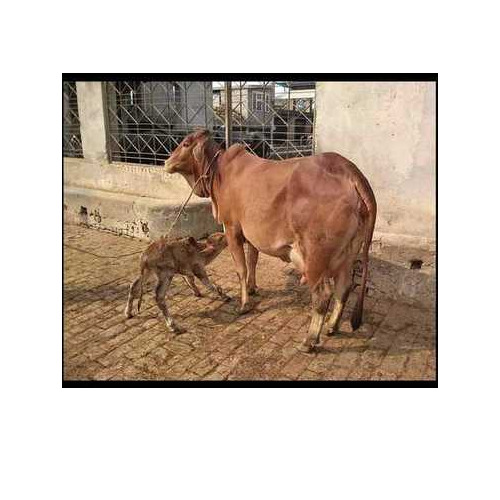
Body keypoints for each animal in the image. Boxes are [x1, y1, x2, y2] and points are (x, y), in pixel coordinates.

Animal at [164, 129, 376, 352]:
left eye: (186, 144)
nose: (166, 162)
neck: (219, 172)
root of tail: (349, 171)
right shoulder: (251, 236)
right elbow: (252, 261)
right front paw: (252, 288)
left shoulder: (232, 229)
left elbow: (241, 269)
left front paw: (244, 304)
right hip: (348, 254)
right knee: (343, 288)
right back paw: (332, 326)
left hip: (315, 257)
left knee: (323, 295)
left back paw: (309, 340)